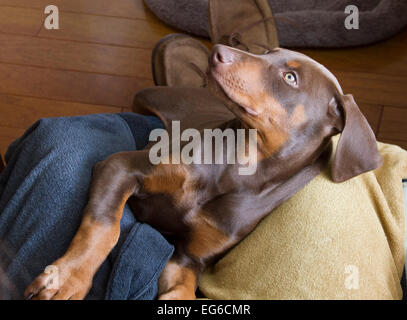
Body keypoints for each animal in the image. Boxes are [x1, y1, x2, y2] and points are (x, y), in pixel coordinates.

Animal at [24, 45, 382, 300]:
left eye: (291, 78)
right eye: (267, 52)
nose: (217, 51)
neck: (238, 165)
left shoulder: (190, 258)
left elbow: (182, 287)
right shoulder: (121, 166)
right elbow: (104, 226)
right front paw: (68, 279)